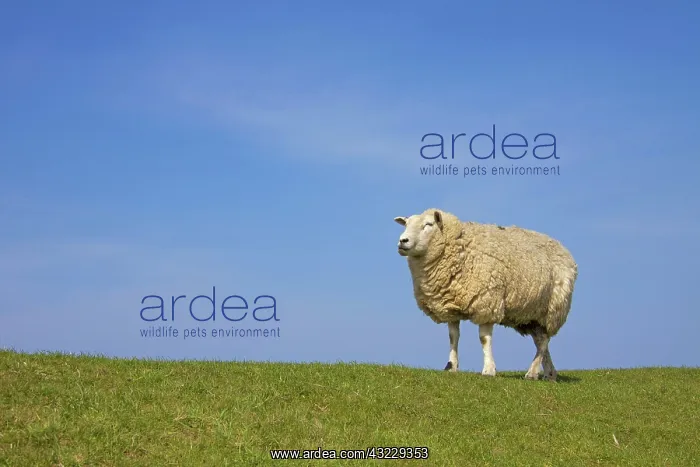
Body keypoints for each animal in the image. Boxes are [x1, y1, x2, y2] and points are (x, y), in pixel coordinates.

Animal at [394, 208, 578, 381]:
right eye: (406, 224)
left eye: (429, 224)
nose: (402, 241)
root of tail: (563, 249)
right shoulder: (450, 305)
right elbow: (453, 337)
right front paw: (451, 366)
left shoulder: (487, 303)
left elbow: (484, 339)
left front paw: (489, 370)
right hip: (531, 315)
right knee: (541, 340)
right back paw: (549, 374)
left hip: (553, 308)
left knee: (544, 341)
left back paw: (532, 372)